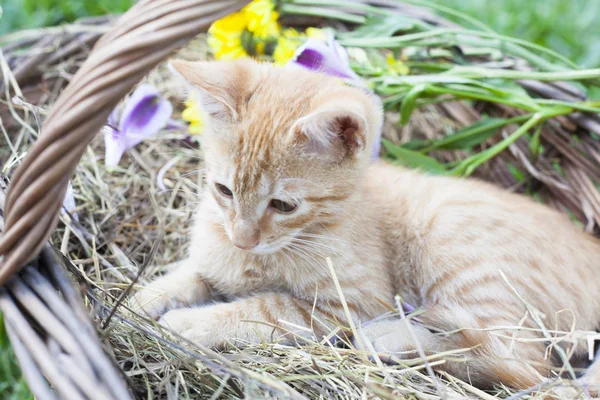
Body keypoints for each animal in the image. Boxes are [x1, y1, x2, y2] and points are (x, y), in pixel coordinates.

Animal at [131, 57, 600, 392]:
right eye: (224, 190)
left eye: (283, 205)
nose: (244, 240)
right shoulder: (212, 256)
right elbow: (186, 276)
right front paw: (142, 300)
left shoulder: (351, 304)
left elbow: (266, 309)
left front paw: (192, 323)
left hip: (456, 253)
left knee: (522, 365)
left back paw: (392, 339)